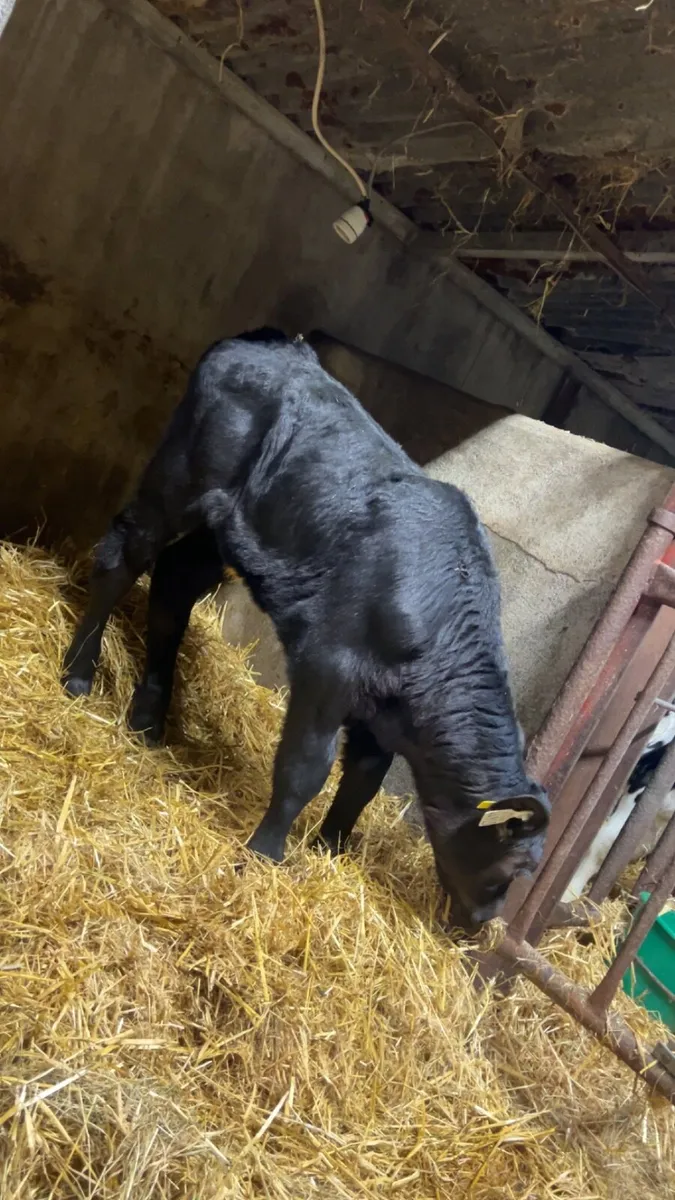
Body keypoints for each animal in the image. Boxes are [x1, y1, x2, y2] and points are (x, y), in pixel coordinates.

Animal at [62, 328, 550, 930]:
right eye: (511, 867)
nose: (479, 925)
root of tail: (269, 341)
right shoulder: (328, 666)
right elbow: (305, 767)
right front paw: (266, 852)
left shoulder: (382, 715)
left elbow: (362, 782)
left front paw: (332, 851)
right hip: (176, 482)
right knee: (123, 556)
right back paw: (79, 674)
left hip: (220, 531)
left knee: (173, 588)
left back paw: (149, 720)